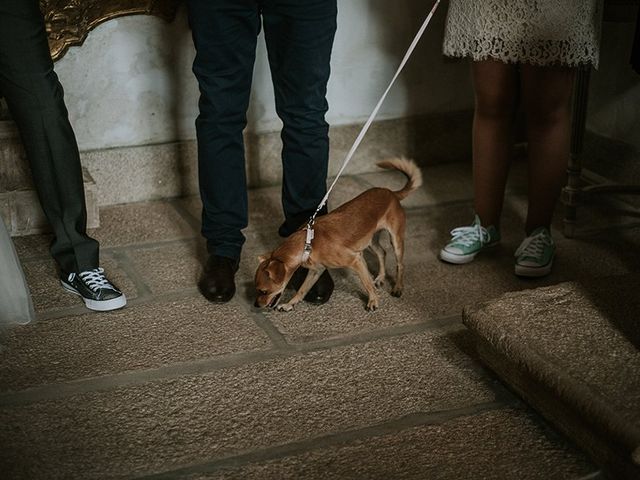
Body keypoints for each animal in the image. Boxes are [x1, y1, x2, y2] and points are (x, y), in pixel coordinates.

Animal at [252, 158, 422, 312]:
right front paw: (290, 304)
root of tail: (392, 193)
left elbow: (366, 283)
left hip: (395, 240)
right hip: (370, 241)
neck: (308, 243)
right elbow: (302, 290)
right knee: (382, 252)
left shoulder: (356, 260)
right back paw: (380, 277)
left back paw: (398, 287)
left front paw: (373, 300)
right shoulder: (316, 271)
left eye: (263, 291)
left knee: (400, 264)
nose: (256, 305)